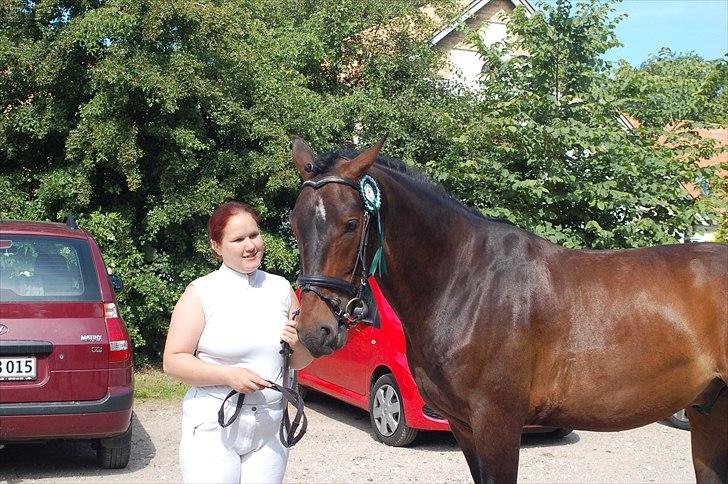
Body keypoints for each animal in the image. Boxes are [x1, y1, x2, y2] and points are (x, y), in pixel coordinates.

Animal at [288, 137, 728, 484]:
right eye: (294, 223)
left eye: (350, 223)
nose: (315, 330)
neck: (466, 281)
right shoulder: (464, 426)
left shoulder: (496, 423)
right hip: (709, 411)